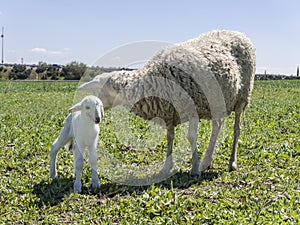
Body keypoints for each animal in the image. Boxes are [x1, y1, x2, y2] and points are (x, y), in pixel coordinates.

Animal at [78, 29, 255, 177]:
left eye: (100, 92)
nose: (96, 116)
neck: (151, 83)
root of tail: (238, 33)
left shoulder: (191, 108)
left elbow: (191, 137)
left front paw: (194, 168)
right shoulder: (169, 112)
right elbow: (170, 137)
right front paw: (167, 167)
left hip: (242, 97)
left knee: (236, 129)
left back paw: (231, 162)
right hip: (218, 102)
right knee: (217, 126)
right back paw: (207, 161)